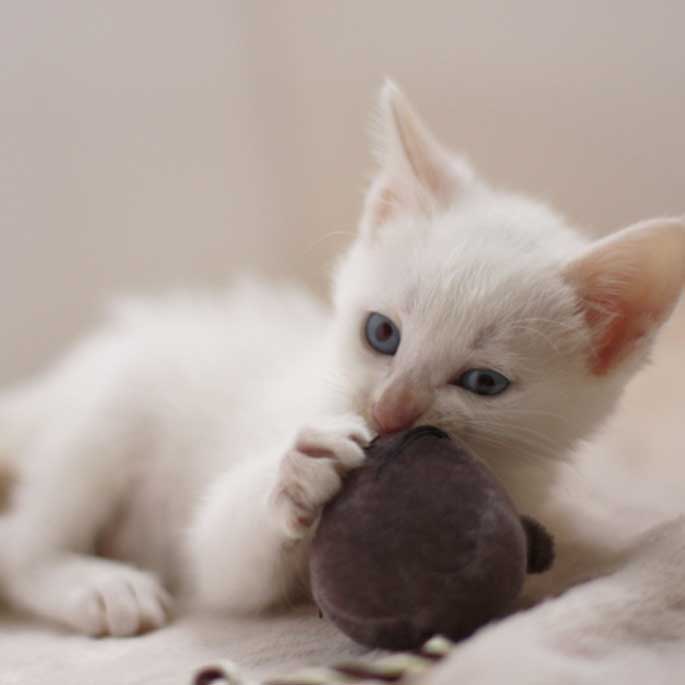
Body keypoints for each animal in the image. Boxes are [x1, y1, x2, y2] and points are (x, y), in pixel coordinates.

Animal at [1, 83, 684, 640]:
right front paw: (299, 467)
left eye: (483, 382)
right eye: (382, 333)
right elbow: (222, 557)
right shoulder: (219, 539)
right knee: (19, 545)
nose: (390, 410)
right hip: (104, 421)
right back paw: (99, 586)